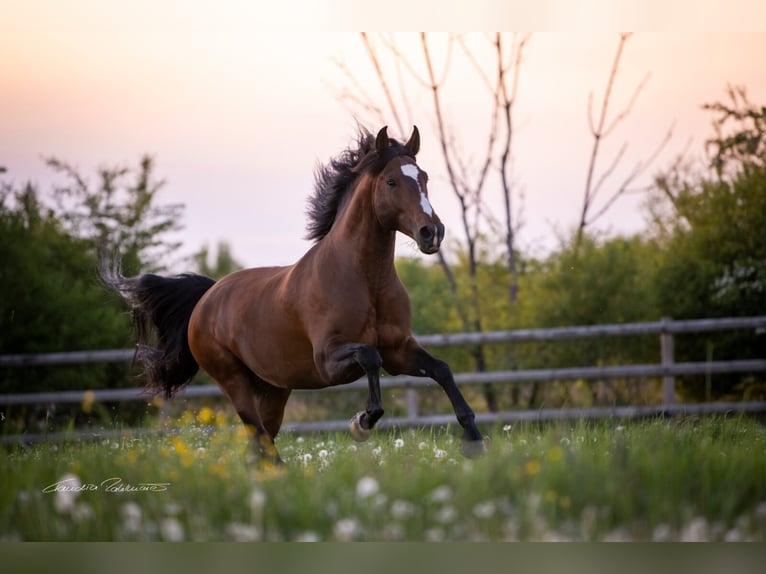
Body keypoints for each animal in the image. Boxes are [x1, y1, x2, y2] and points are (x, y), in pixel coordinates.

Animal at [102, 127, 486, 468]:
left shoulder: (399, 350)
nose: (432, 232)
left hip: (274, 390)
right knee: (259, 439)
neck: (364, 280)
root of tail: (206, 298)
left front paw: (473, 441)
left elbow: (441, 369)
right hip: (234, 382)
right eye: (392, 181)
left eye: (424, 178)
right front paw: (360, 423)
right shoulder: (328, 360)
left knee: (259, 444)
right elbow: (369, 356)